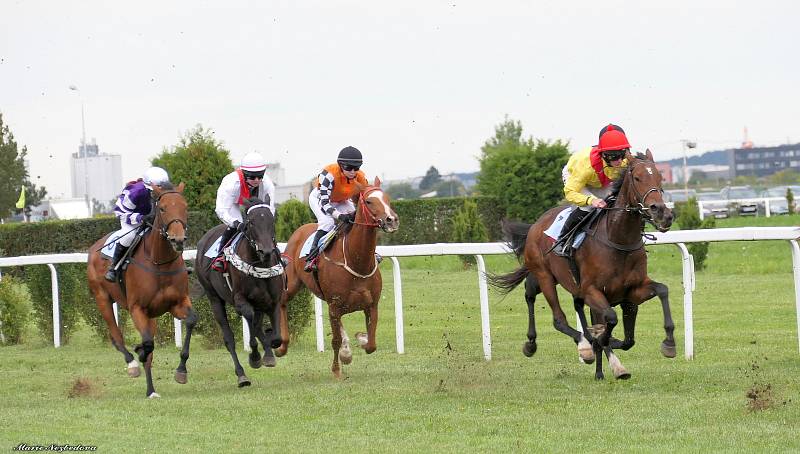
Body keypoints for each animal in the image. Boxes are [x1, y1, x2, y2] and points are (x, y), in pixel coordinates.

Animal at [86, 183, 197, 400]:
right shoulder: (137, 308)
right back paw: (132, 364)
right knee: (116, 336)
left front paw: (181, 371)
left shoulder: (178, 303)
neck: (159, 263)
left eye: (185, 207)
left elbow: (190, 321)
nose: (178, 239)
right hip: (102, 298)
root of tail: (95, 247)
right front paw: (139, 352)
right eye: (162, 208)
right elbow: (146, 343)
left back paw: (151, 390)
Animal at [194, 196, 284, 386]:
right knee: (229, 339)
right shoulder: (241, 300)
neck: (260, 265)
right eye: (250, 222)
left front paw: (269, 351)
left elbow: (276, 337)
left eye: (272, 220)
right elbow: (251, 326)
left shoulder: (273, 301)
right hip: (214, 299)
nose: (266, 251)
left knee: (256, 325)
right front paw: (255, 357)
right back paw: (242, 375)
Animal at [276, 179, 398, 378]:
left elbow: (371, 342)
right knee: (282, 302)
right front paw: (338, 367)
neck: (357, 262)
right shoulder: (334, 306)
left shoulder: (371, 305)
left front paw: (359, 340)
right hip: (293, 284)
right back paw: (282, 346)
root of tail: (300, 230)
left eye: (387, 198)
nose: (392, 220)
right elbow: (335, 340)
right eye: (369, 201)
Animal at [488, 151, 676, 382]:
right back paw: (571, 347)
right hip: (544, 276)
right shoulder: (592, 291)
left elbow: (660, 294)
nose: (662, 213)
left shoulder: (632, 292)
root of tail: (536, 225)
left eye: (660, 178)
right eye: (637, 178)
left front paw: (669, 344)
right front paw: (599, 341)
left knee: (569, 306)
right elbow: (611, 320)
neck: (618, 239)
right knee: (553, 315)